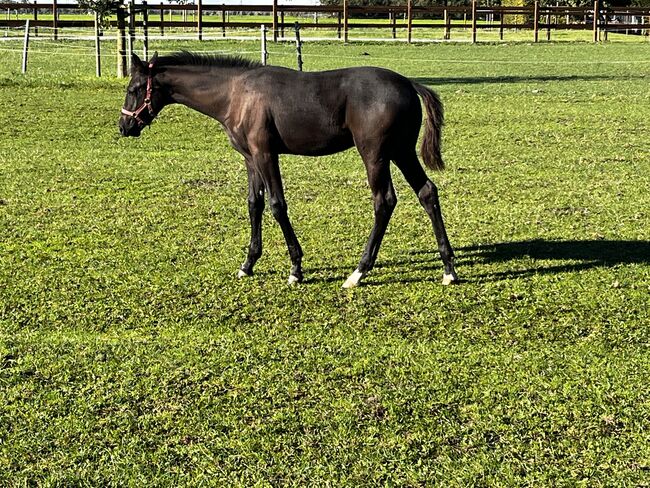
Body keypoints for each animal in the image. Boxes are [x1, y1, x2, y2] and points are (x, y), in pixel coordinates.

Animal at [119, 52, 458, 290]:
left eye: (134, 88)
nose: (124, 126)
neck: (236, 94)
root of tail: (409, 84)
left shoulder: (266, 154)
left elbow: (277, 205)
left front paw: (296, 268)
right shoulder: (250, 158)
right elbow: (254, 205)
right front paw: (248, 264)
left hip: (374, 154)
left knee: (384, 201)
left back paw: (358, 272)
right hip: (402, 152)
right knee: (427, 192)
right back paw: (448, 269)